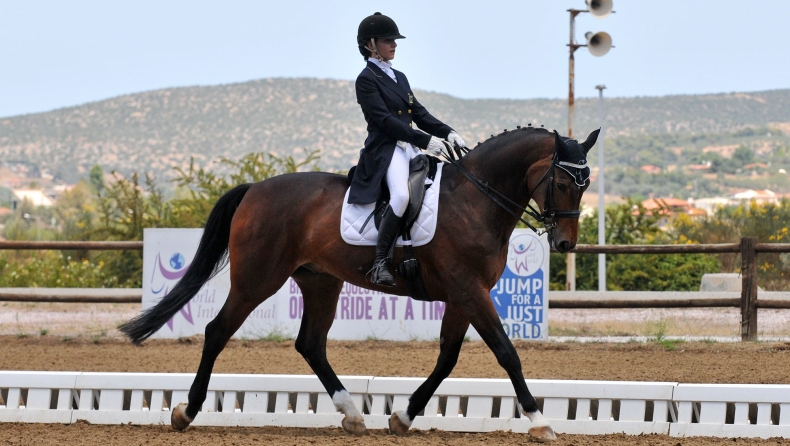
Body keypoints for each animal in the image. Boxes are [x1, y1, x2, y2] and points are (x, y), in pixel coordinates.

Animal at [119, 126, 600, 442]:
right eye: (561, 181)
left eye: (586, 183)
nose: (565, 243)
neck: (475, 201)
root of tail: (254, 188)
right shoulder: (469, 290)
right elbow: (506, 352)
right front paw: (540, 421)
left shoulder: (464, 295)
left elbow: (447, 358)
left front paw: (403, 416)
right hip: (257, 279)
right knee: (218, 331)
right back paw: (187, 411)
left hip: (320, 282)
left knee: (310, 343)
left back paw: (352, 413)